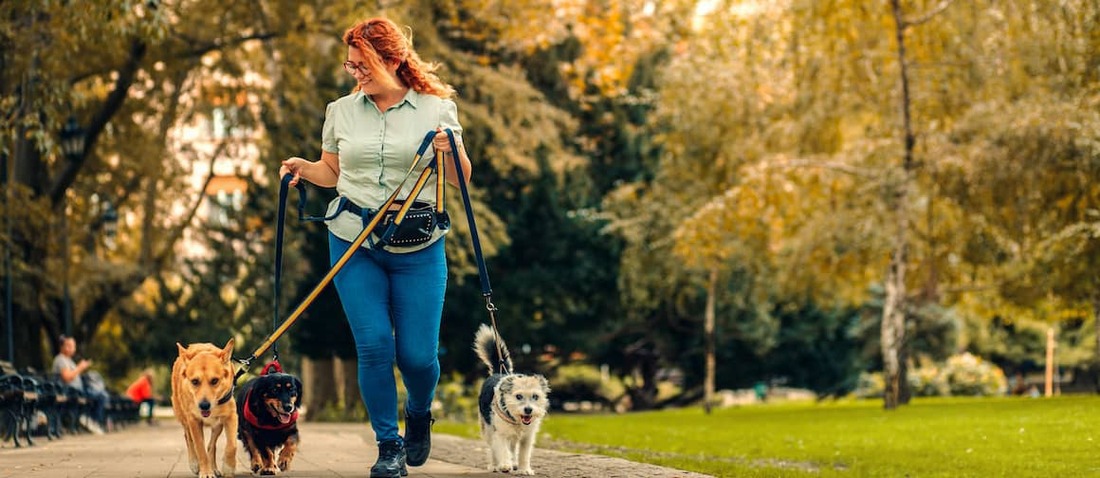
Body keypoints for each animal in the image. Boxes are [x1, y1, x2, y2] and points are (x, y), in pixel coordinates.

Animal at [170, 340, 237, 478]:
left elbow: (232, 445)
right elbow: (200, 448)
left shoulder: (231, 416)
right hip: (184, 418)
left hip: (218, 425)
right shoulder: (194, 421)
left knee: (211, 445)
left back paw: (214, 468)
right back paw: (194, 464)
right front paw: (205, 471)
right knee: (188, 438)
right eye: (195, 381)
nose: (204, 405)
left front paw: (228, 468)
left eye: (215, 380)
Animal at [473, 325, 550, 474]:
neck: (517, 420)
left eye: (535, 396)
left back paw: (513, 463)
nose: (528, 410)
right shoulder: (500, 433)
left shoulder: (527, 438)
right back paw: (495, 465)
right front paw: (504, 465)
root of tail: (498, 373)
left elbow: (524, 455)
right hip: (488, 429)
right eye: (518, 396)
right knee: (493, 448)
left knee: (513, 447)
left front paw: (524, 469)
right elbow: (502, 450)